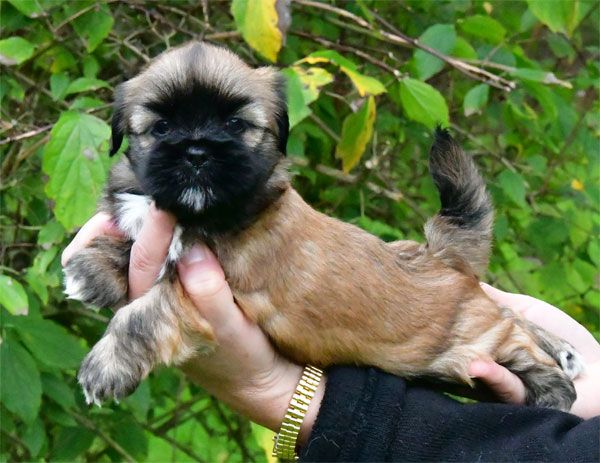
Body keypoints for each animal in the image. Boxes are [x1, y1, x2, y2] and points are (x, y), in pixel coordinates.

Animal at [63, 42, 584, 410]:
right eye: (162, 128)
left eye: (234, 124)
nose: (196, 152)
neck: (208, 211)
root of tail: (442, 256)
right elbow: (139, 248)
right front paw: (94, 270)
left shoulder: (210, 292)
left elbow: (144, 314)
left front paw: (106, 366)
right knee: (512, 314)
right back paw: (562, 350)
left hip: (475, 339)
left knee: (514, 339)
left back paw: (551, 388)